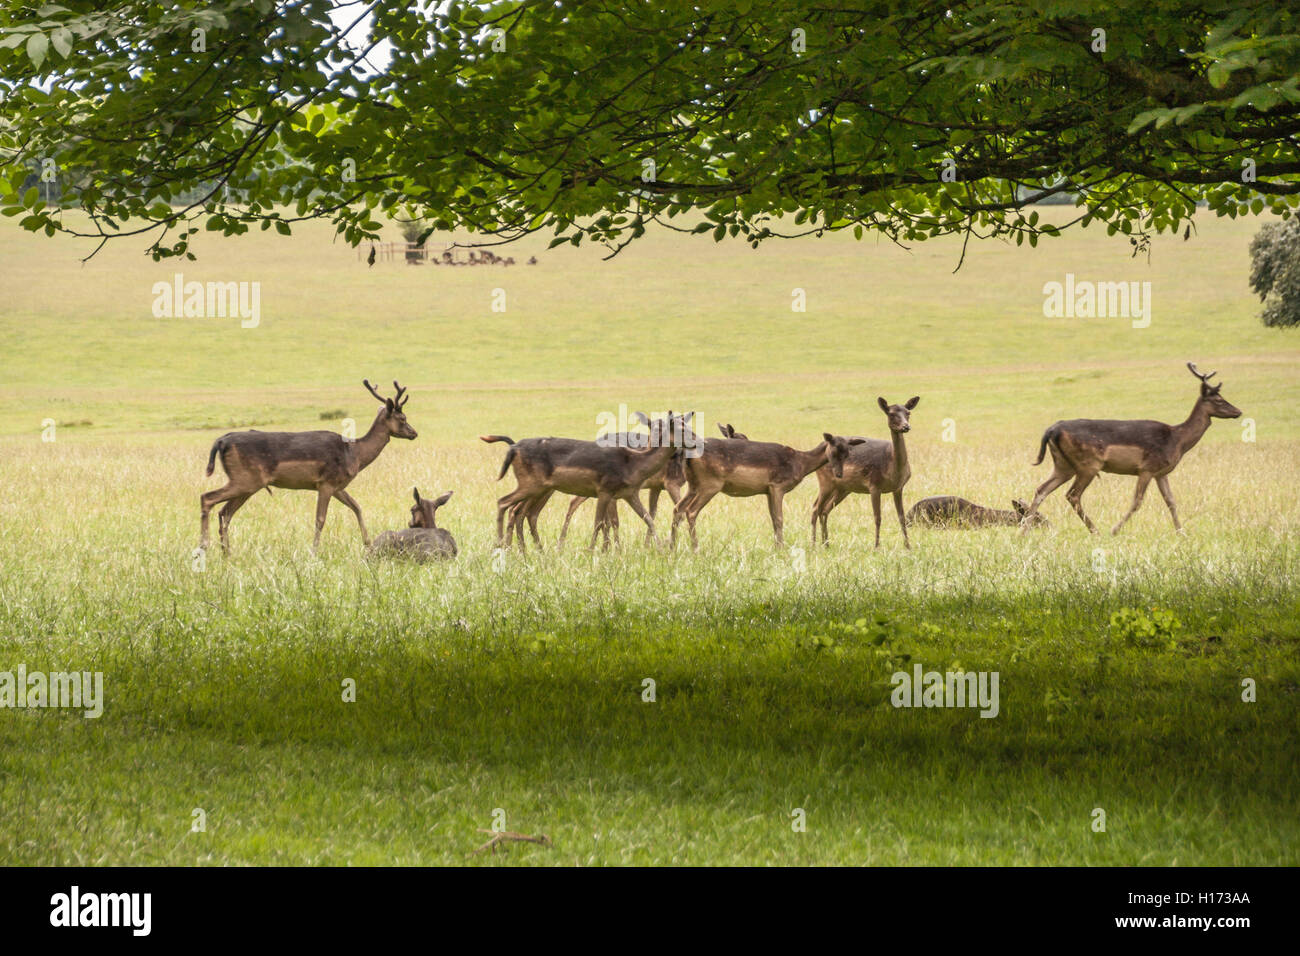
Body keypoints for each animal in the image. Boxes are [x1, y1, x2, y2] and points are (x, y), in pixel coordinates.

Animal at [197, 379, 416, 554]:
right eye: (402, 418)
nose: (414, 433)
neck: (355, 454)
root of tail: (221, 441)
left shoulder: (338, 486)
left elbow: (357, 507)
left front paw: (368, 544)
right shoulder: (327, 482)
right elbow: (320, 519)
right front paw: (314, 551)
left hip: (248, 484)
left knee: (224, 513)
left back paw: (226, 553)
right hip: (245, 479)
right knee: (207, 498)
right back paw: (204, 546)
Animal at [670, 431, 863, 548]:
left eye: (847, 453)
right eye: (834, 451)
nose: (839, 474)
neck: (800, 463)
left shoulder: (768, 490)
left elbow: (772, 518)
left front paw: (776, 547)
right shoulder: (778, 485)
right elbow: (779, 518)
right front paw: (782, 548)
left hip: (693, 484)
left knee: (678, 508)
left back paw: (672, 548)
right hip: (710, 483)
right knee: (691, 510)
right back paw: (696, 548)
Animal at [806, 395, 920, 546]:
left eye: (908, 413)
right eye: (891, 414)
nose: (905, 426)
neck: (893, 470)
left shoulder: (898, 488)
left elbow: (901, 517)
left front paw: (908, 546)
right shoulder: (874, 485)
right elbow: (877, 517)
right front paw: (876, 547)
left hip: (842, 488)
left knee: (825, 510)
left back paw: (826, 544)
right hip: (825, 482)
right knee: (815, 508)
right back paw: (813, 545)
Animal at [1019, 361, 1242, 535]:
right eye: (1219, 399)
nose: (1238, 411)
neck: (1178, 440)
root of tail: (1051, 430)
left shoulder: (1161, 472)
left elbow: (1171, 501)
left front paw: (1182, 532)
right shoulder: (1147, 468)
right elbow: (1137, 501)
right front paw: (1115, 530)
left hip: (1063, 464)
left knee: (1041, 489)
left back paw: (1024, 531)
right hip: (1088, 464)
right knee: (1072, 495)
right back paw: (1096, 530)